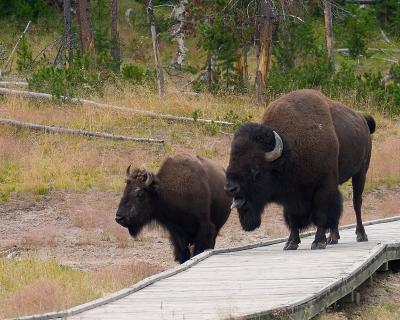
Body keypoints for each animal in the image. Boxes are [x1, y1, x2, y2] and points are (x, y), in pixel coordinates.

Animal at [225, 89, 376, 250]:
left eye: (255, 169)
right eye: (231, 162)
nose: (230, 188)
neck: (290, 152)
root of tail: (362, 119)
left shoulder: (323, 185)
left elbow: (321, 213)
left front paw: (318, 242)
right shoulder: (291, 195)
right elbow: (293, 218)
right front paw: (291, 243)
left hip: (361, 172)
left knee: (356, 202)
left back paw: (361, 235)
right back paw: (333, 238)